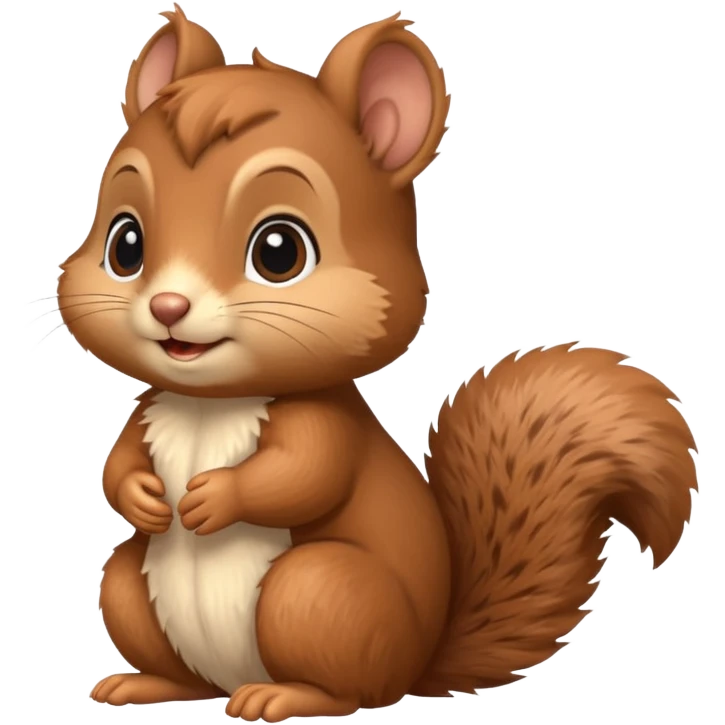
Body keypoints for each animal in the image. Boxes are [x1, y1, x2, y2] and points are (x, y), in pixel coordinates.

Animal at [58, 5, 698, 721]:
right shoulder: (147, 410)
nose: (168, 306)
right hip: (130, 589)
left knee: (350, 689)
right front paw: (143, 496)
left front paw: (216, 497)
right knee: (163, 642)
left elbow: (304, 474)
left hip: (321, 594)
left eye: (279, 251)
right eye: (124, 244)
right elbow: (118, 464)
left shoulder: (324, 422)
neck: (212, 403)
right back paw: (145, 684)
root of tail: (418, 662)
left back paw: (284, 695)